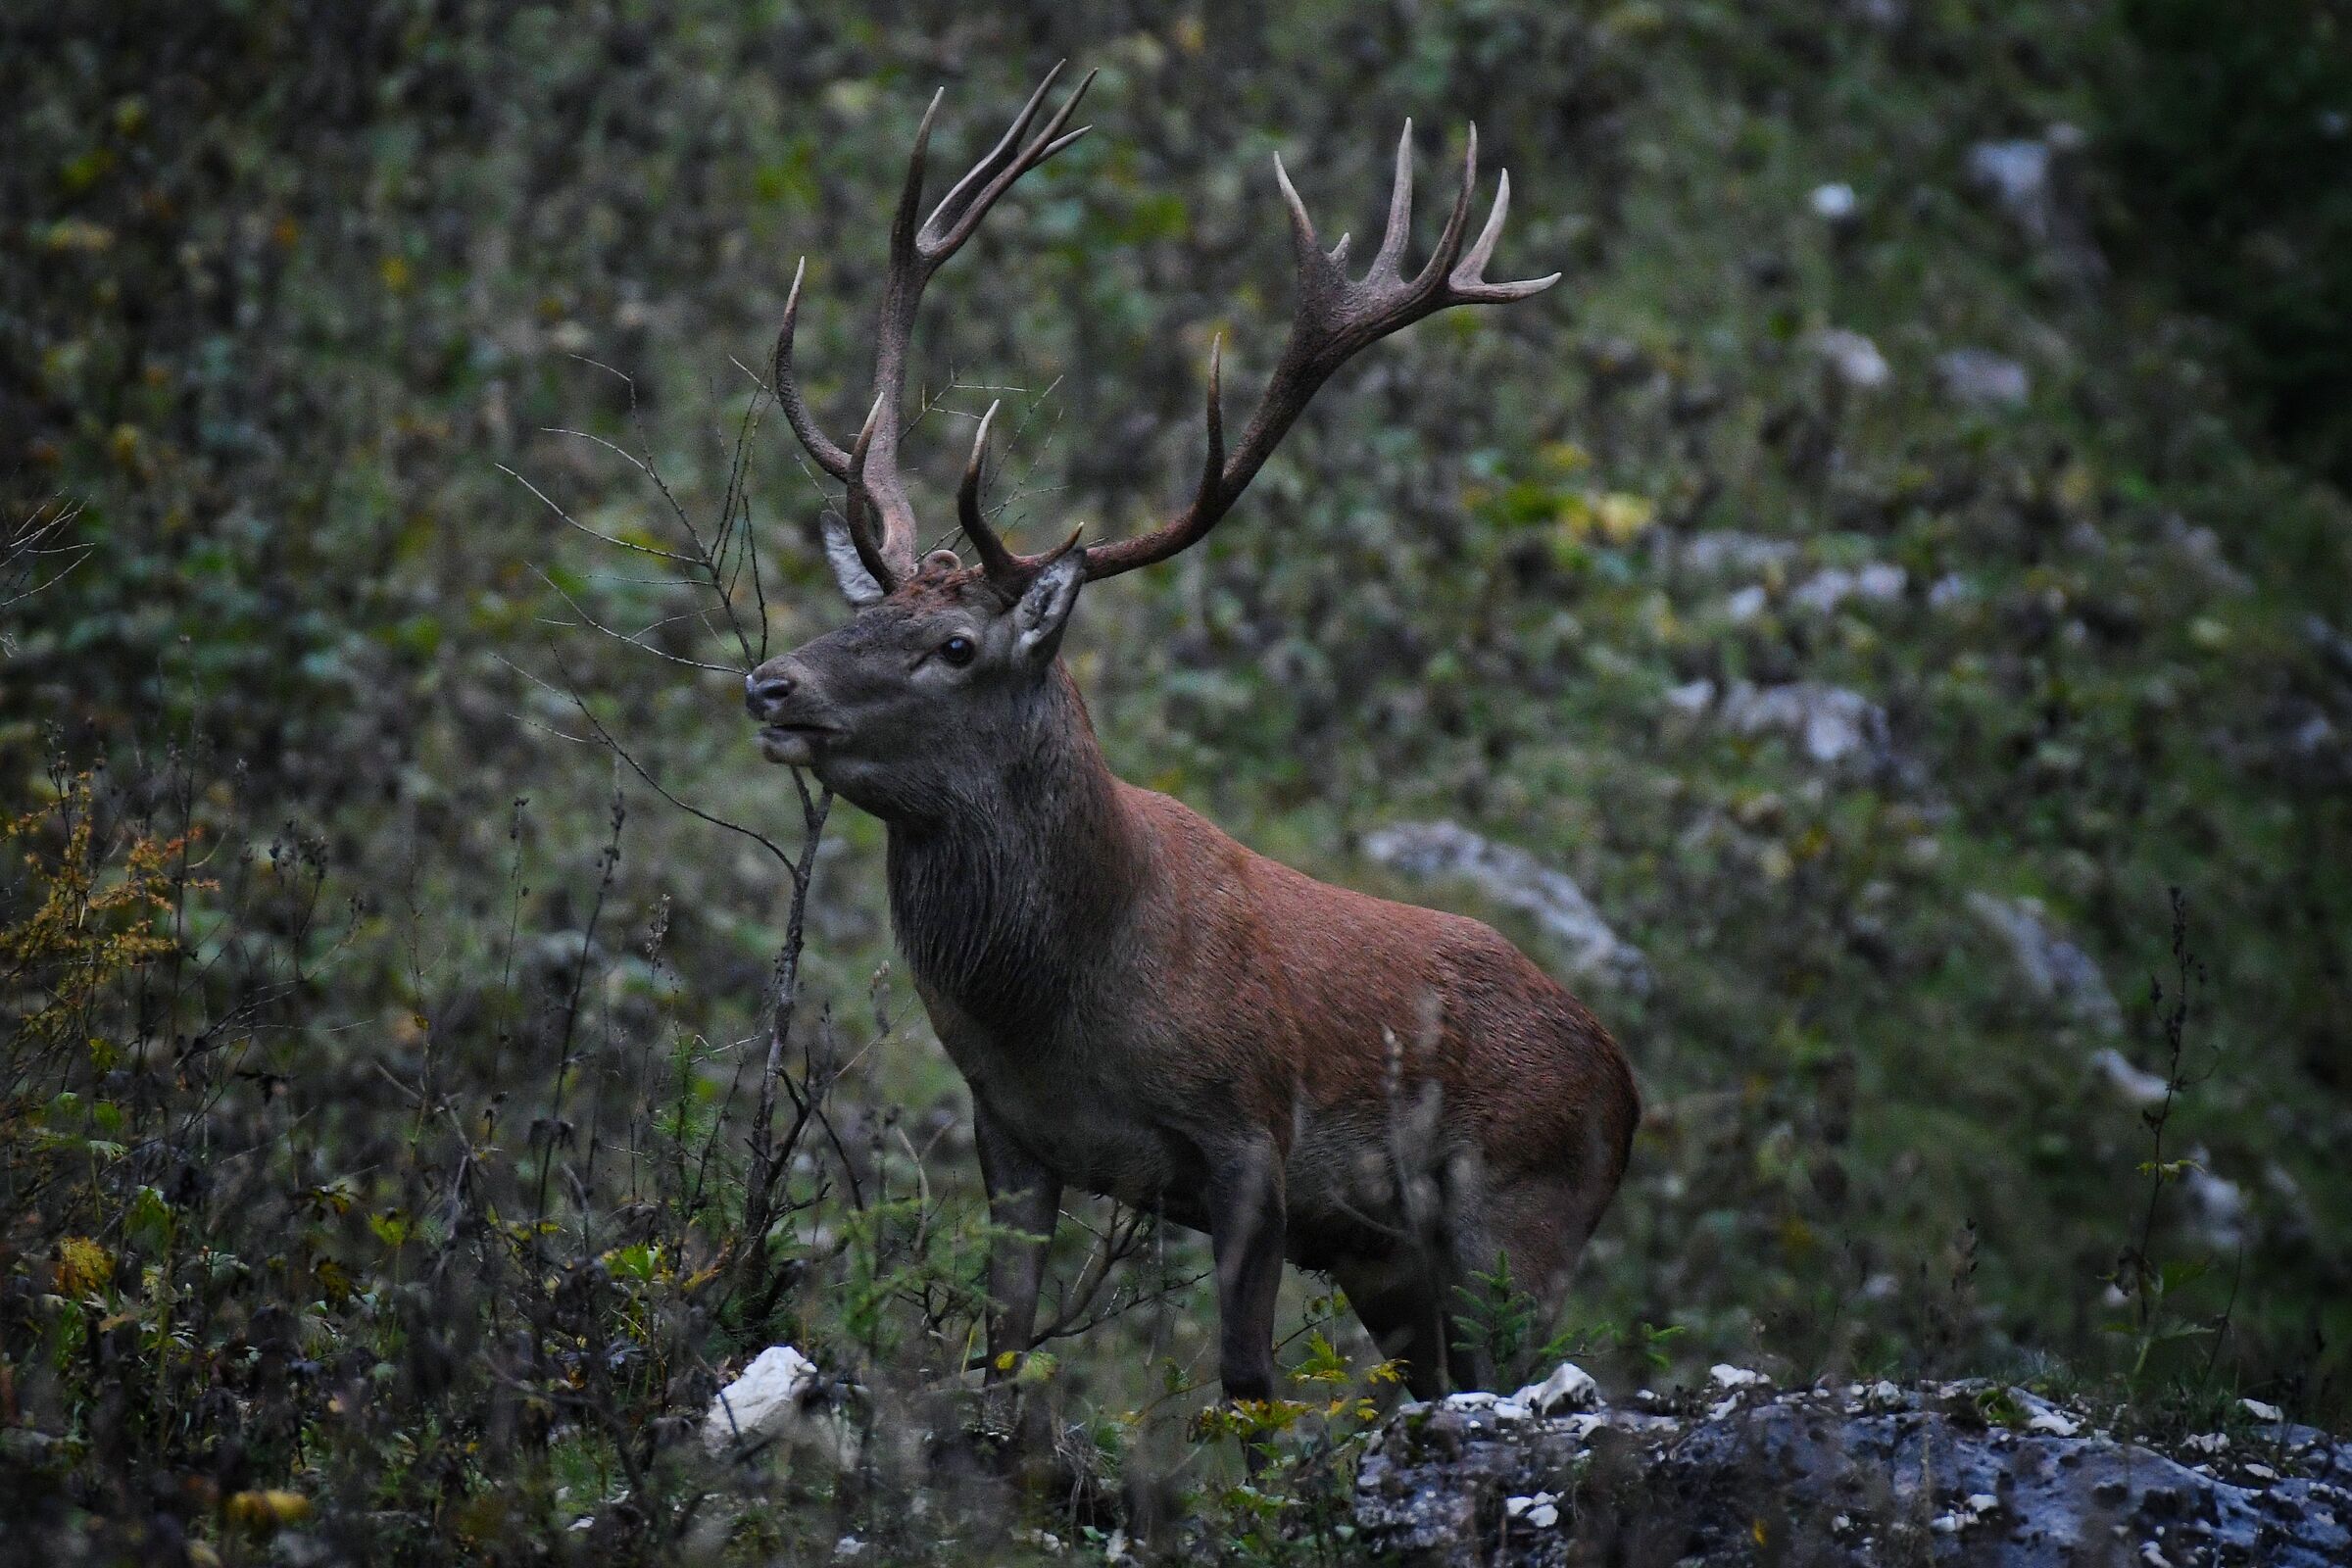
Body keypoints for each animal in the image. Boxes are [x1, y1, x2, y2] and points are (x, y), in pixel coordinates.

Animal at [743, 64, 1639, 1412]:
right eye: (864, 609)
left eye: (955, 646)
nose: (771, 682)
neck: (1062, 997)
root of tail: (1629, 1089)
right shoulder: (1010, 1134)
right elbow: (1002, 1353)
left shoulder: (1253, 1136)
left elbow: (1246, 1379)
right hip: (1398, 1269)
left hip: (1522, 1225)